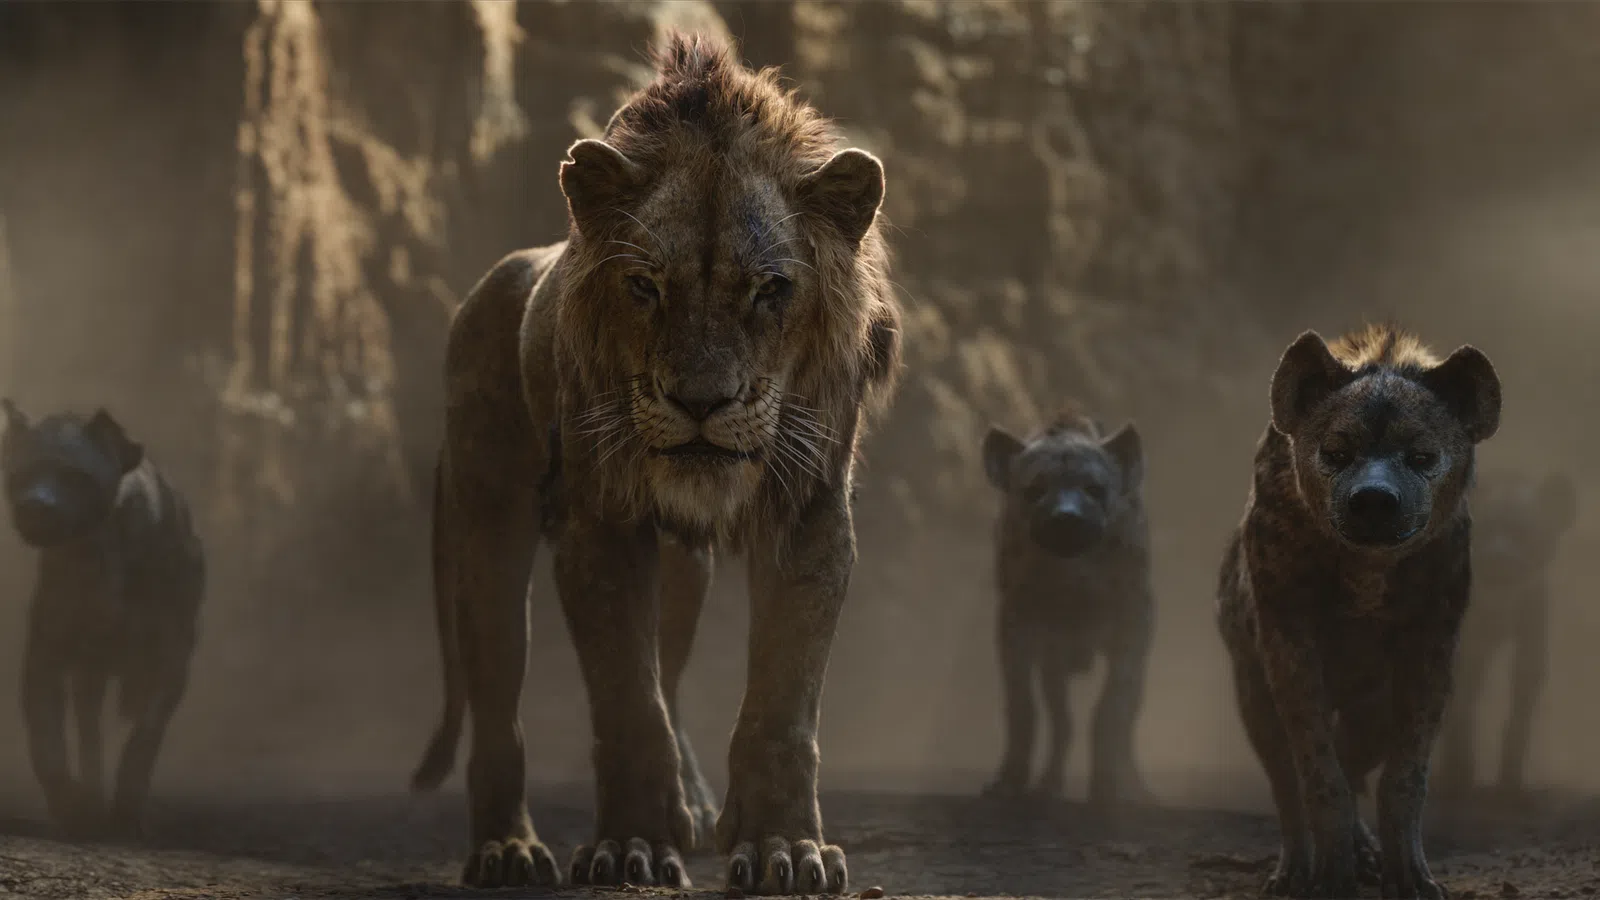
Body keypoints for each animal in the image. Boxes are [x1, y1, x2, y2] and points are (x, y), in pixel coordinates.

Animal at [408, 32, 901, 896]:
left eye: (770, 290)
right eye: (644, 286)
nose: (701, 401)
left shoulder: (809, 514)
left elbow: (781, 704)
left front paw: (782, 849)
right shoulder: (600, 524)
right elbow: (626, 703)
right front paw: (630, 847)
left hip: (681, 569)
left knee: (669, 672)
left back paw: (696, 805)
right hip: (487, 523)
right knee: (499, 701)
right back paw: (507, 850)